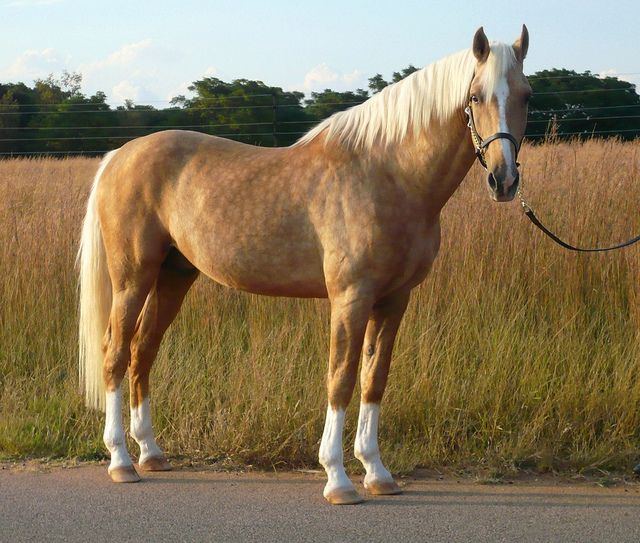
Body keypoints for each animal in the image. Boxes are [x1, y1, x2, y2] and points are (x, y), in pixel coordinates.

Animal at [79, 25, 528, 506]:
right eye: (476, 96)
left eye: (526, 95)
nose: (503, 181)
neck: (388, 173)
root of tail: (118, 156)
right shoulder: (351, 298)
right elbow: (341, 379)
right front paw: (338, 478)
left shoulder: (394, 300)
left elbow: (374, 379)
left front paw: (377, 473)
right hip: (133, 278)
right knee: (116, 353)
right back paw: (121, 461)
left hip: (173, 277)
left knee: (143, 351)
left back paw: (151, 453)